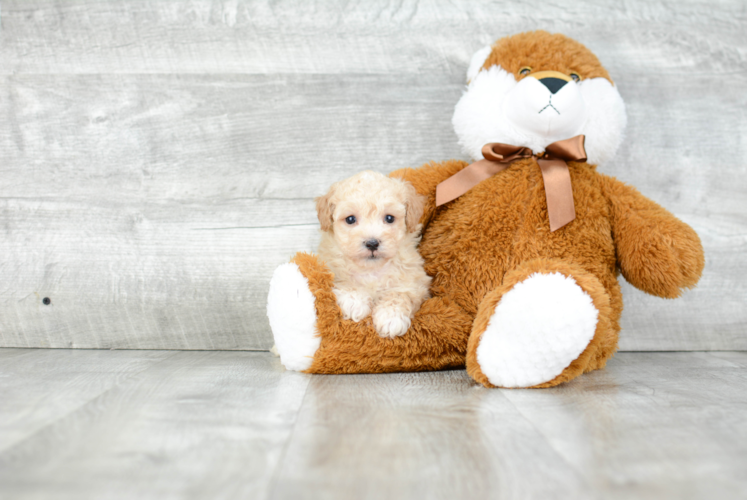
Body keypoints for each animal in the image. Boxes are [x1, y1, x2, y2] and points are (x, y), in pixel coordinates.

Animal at [316, 170, 432, 338]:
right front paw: (354, 301)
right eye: (350, 219)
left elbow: (400, 294)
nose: (372, 243)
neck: (371, 269)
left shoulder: (416, 282)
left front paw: (391, 317)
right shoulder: (330, 264)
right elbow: (344, 279)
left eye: (389, 218)